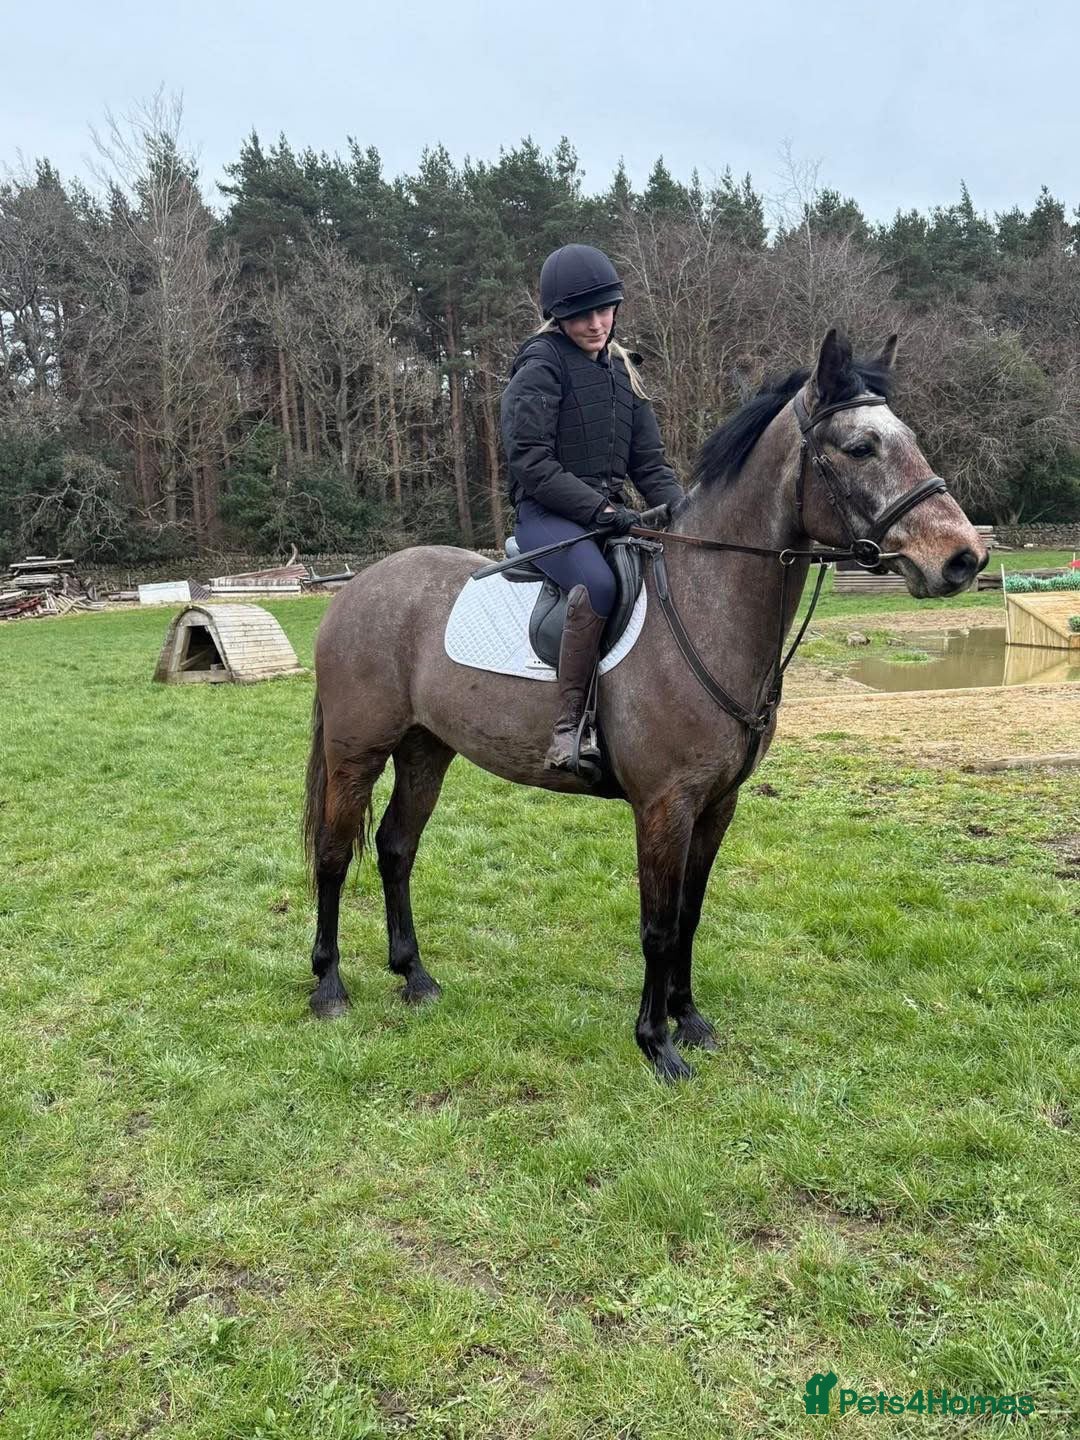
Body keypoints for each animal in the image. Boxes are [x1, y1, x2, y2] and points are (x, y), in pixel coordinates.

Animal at [302, 328, 988, 1082]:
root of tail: (357, 588)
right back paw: (328, 988)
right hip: (357, 750)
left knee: (397, 847)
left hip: (427, 747)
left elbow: (689, 915)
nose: (963, 558)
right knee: (333, 855)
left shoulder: (717, 804)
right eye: (861, 446)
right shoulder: (665, 805)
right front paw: (657, 1044)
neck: (705, 604)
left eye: (908, 436)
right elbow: (657, 924)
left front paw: (690, 1020)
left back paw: (415, 977)